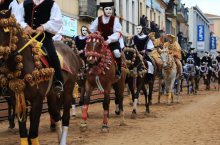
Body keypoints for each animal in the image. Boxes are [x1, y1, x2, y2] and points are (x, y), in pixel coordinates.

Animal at [0, 10, 82, 145]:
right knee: (56, 115)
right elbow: (24, 132)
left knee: (65, 117)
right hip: (52, 94)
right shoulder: (18, 98)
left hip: (68, 89)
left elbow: (33, 133)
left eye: (5, 30)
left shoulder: (37, 99)